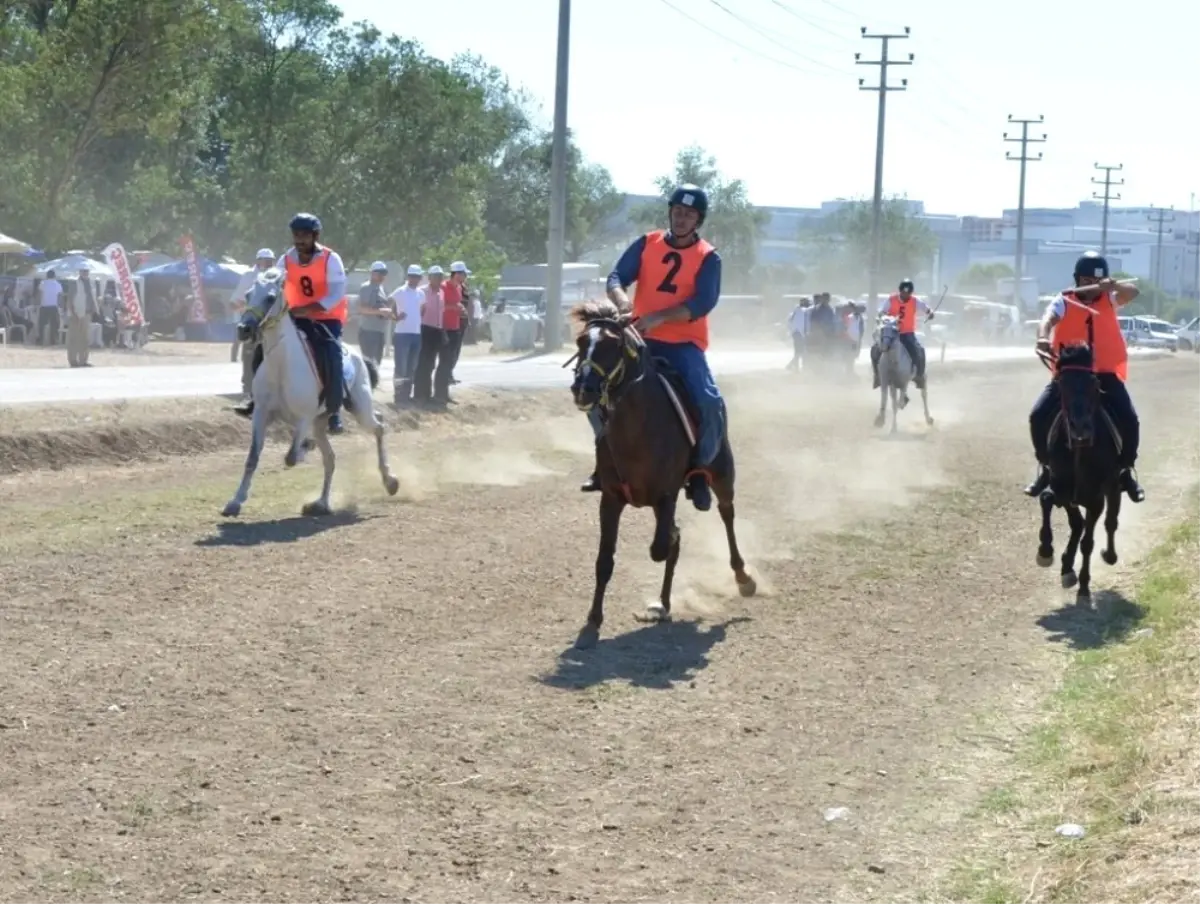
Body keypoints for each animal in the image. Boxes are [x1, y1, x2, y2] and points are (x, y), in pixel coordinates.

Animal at [220, 267, 398, 518]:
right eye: (247, 294)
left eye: (270, 297)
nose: (244, 329)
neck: (282, 365)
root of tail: (358, 356)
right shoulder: (261, 414)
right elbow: (252, 458)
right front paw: (235, 501)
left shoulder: (304, 418)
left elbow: (292, 456)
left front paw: (305, 448)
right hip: (321, 422)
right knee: (331, 458)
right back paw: (321, 503)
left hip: (359, 408)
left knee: (379, 426)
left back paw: (390, 481)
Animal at [566, 301, 753, 648]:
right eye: (582, 341)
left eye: (612, 344)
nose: (583, 388)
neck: (637, 428)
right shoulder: (611, 499)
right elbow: (605, 560)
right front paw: (592, 622)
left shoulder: (666, 496)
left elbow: (661, 546)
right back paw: (663, 604)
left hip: (722, 474)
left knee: (727, 515)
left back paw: (743, 577)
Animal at [1036, 340, 1118, 602]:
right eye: (1062, 382)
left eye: (1093, 381)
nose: (1080, 427)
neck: (1080, 452)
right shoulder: (1062, 489)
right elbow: (1047, 499)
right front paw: (1046, 552)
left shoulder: (1095, 500)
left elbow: (1088, 541)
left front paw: (1083, 584)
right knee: (1078, 524)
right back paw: (1066, 567)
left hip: (1114, 487)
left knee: (1110, 522)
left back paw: (1108, 555)